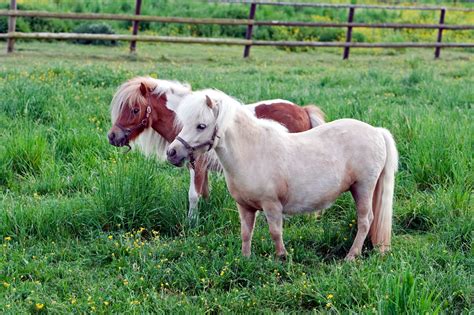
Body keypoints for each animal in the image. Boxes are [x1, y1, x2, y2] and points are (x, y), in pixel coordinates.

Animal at [106, 77, 326, 221]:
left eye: (135, 110)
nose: (112, 136)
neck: (185, 120)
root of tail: (303, 110)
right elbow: (203, 193)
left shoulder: (197, 165)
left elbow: (193, 195)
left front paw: (191, 223)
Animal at [167, 89, 396, 262]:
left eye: (201, 126)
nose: (172, 152)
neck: (251, 153)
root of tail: (376, 131)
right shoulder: (245, 207)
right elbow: (246, 233)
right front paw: (245, 259)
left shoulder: (272, 206)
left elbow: (275, 232)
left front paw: (281, 257)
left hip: (363, 187)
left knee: (365, 220)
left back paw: (351, 256)